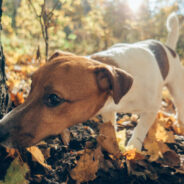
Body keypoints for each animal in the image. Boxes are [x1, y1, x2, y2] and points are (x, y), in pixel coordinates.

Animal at [0, 13, 181, 151]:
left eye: (54, 98)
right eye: (31, 87)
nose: (1, 129)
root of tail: (168, 47)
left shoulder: (152, 107)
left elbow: (141, 127)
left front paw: (133, 147)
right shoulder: (108, 110)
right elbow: (110, 127)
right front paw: (111, 144)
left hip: (177, 87)